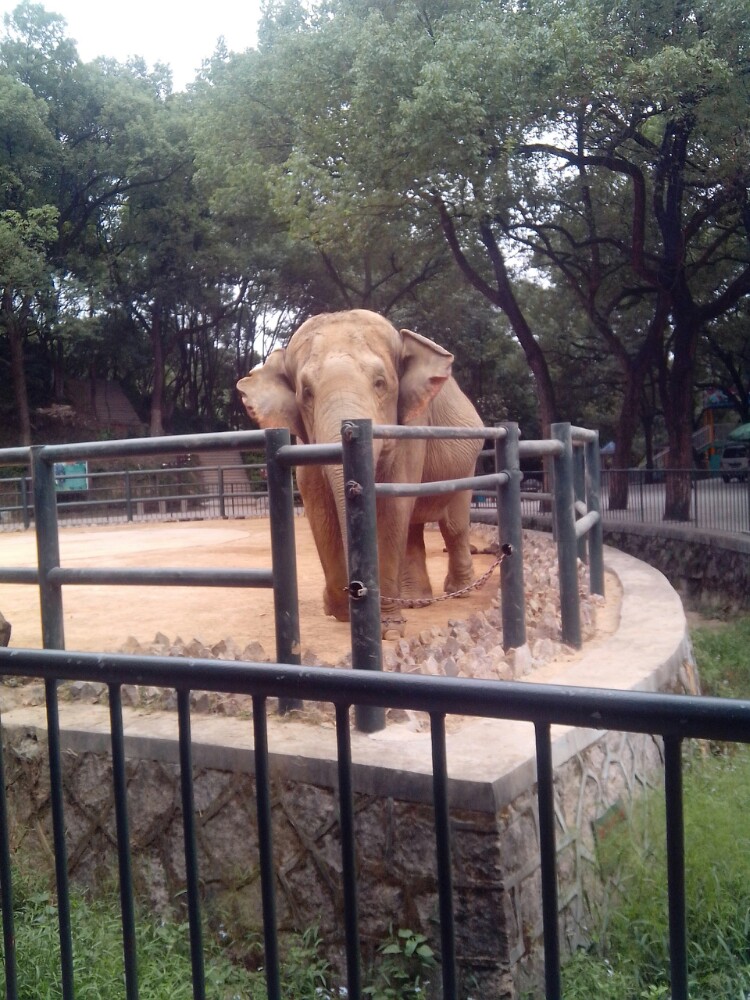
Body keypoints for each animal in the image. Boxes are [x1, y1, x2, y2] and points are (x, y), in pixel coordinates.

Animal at [238, 308, 484, 636]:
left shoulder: (411, 428)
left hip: (468, 461)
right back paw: (416, 602)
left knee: (453, 524)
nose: (352, 592)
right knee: (413, 529)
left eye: (380, 383)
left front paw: (388, 629)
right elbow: (319, 507)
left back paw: (460, 591)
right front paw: (341, 613)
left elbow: (393, 508)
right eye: (306, 392)